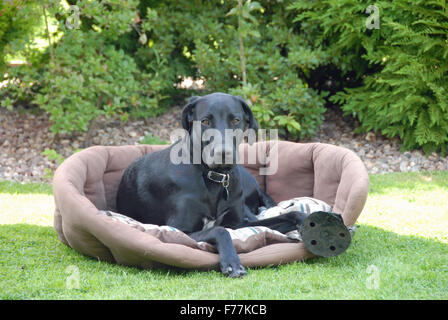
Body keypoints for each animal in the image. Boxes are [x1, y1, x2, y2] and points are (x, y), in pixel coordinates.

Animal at [115, 92, 314, 278]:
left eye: (235, 120)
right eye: (205, 121)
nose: (223, 153)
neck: (214, 179)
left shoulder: (239, 223)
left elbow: (294, 214)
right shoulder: (179, 231)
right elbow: (219, 230)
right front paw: (232, 263)